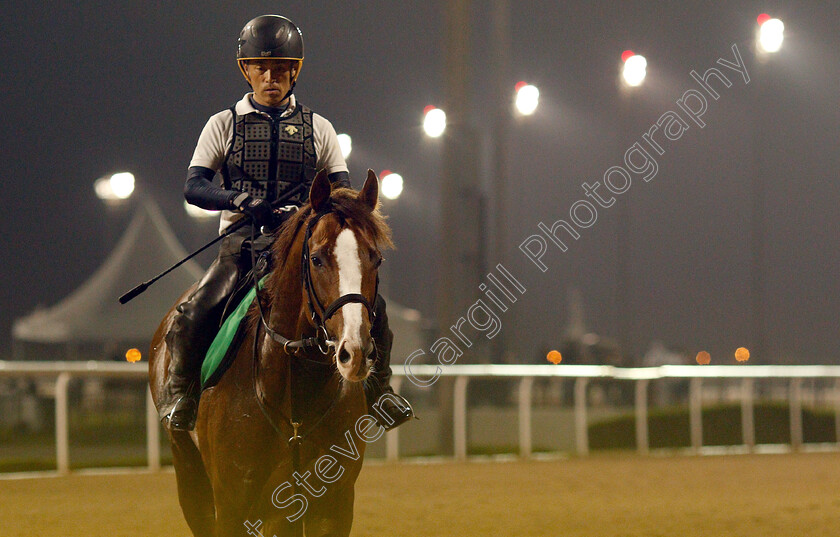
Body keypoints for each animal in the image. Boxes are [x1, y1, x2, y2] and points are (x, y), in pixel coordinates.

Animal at [149, 169, 392, 536]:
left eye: (375, 258)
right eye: (317, 258)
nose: (356, 351)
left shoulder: (331, 505)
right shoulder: (232, 506)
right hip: (188, 470)